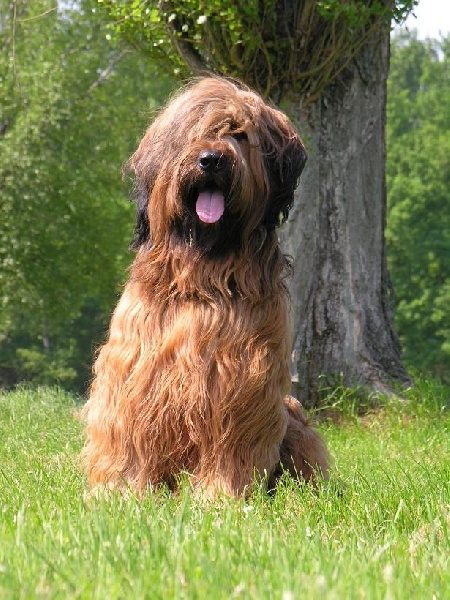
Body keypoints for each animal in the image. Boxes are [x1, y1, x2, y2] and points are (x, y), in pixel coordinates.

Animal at [82, 77, 329, 498]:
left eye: (239, 135)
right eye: (192, 134)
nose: (211, 159)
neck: (202, 274)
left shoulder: (242, 382)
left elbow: (231, 448)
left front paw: (219, 498)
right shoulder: (134, 368)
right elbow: (127, 434)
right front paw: (119, 492)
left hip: (292, 413)